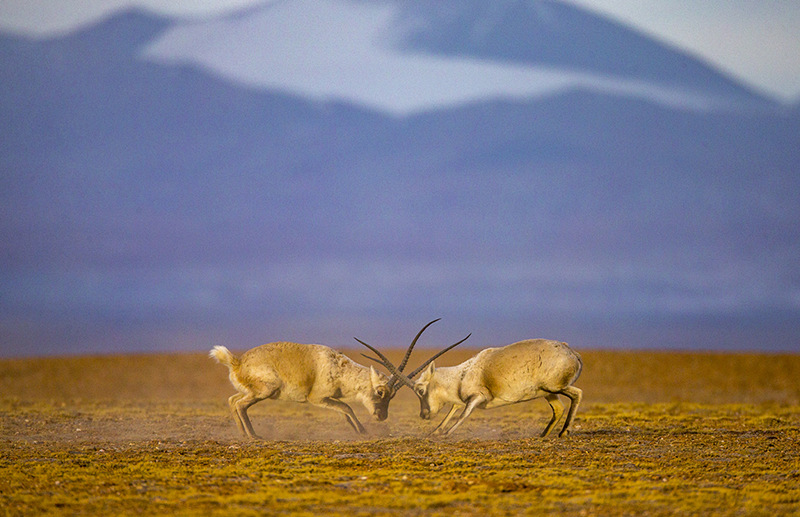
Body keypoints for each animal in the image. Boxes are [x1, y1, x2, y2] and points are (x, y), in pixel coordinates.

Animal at [206, 320, 456, 438]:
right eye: (380, 392)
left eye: (392, 396)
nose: (381, 417)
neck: (338, 367)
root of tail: (237, 361)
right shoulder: (316, 399)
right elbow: (347, 407)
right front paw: (362, 431)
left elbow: (345, 410)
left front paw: (359, 431)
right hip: (266, 391)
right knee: (240, 404)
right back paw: (254, 435)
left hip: (253, 391)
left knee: (232, 400)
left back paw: (243, 433)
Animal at [366, 340, 584, 438]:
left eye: (420, 390)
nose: (424, 415)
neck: (461, 376)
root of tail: (572, 352)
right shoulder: (459, 400)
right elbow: (452, 410)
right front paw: (436, 431)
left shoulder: (478, 398)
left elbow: (463, 414)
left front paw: (446, 434)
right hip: (548, 393)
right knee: (558, 408)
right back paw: (543, 435)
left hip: (554, 386)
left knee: (577, 394)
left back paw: (564, 432)